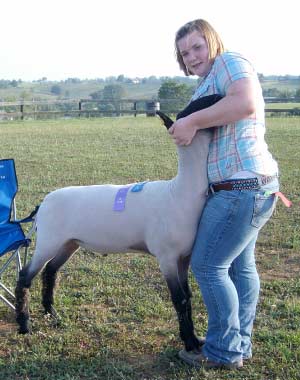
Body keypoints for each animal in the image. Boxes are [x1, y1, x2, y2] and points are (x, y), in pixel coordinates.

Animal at [15, 93, 223, 352]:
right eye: (196, 107)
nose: (221, 96)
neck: (180, 192)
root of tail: (42, 204)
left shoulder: (184, 257)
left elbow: (188, 298)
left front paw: (194, 339)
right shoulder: (167, 256)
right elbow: (179, 299)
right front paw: (189, 342)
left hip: (69, 243)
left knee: (50, 271)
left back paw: (51, 312)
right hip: (48, 241)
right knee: (26, 276)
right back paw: (25, 325)